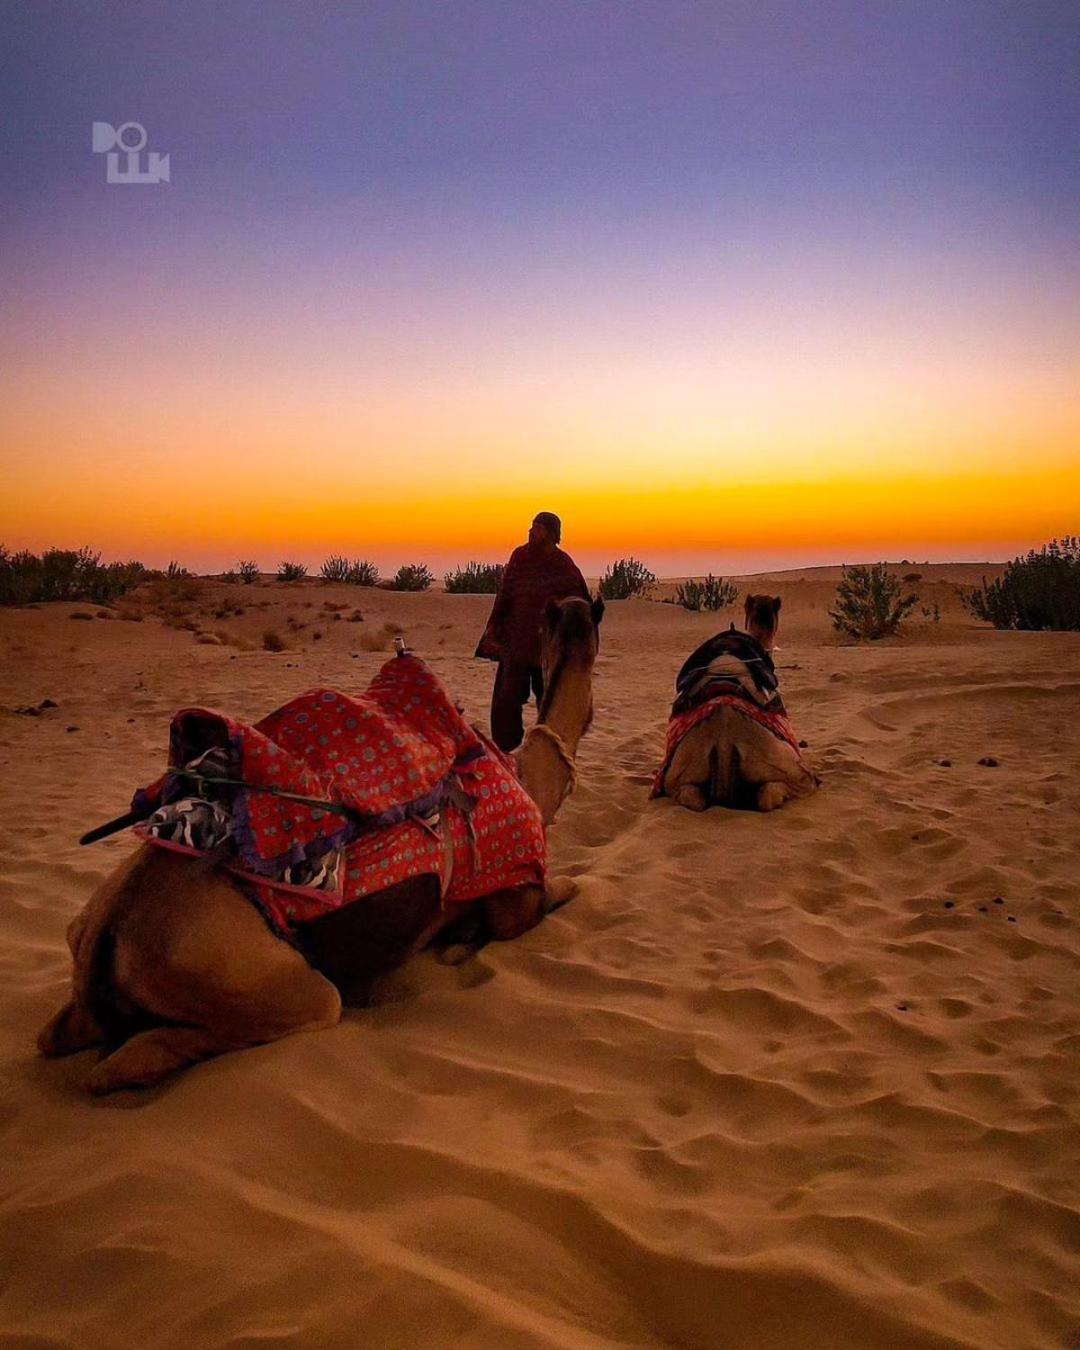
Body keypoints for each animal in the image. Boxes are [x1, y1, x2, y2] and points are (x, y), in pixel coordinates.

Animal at [35, 596, 599, 1090]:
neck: (525, 772)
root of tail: (110, 933)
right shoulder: (516, 892)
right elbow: (557, 894)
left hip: (86, 951)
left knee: (55, 1036)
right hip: (269, 982)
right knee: (128, 1060)